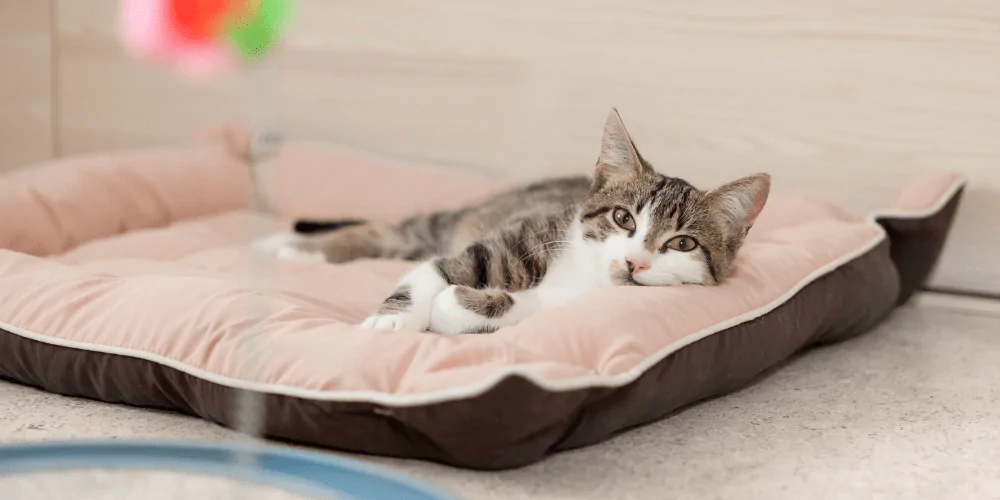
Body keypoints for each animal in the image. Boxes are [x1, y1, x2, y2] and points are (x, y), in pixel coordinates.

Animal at [262, 110, 768, 336]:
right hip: (450, 221)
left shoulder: (563, 307)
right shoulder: (518, 236)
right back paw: (289, 247)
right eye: (623, 218)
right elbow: (435, 269)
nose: (634, 263)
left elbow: (511, 307)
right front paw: (392, 321)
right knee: (388, 232)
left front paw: (457, 305)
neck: (584, 276)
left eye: (682, 244)